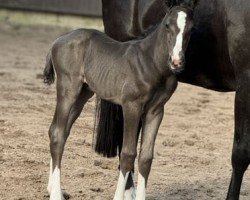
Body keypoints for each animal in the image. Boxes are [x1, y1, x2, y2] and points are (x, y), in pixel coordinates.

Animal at [44, 1, 196, 200]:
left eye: (191, 28)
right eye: (167, 25)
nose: (176, 61)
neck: (152, 62)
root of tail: (57, 40)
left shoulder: (156, 110)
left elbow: (146, 157)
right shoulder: (131, 106)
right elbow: (128, 153)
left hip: (83, 94)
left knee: (58, 131)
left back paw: (53, 188)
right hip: (68, 89)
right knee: (57, 133)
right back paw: (56, 193)